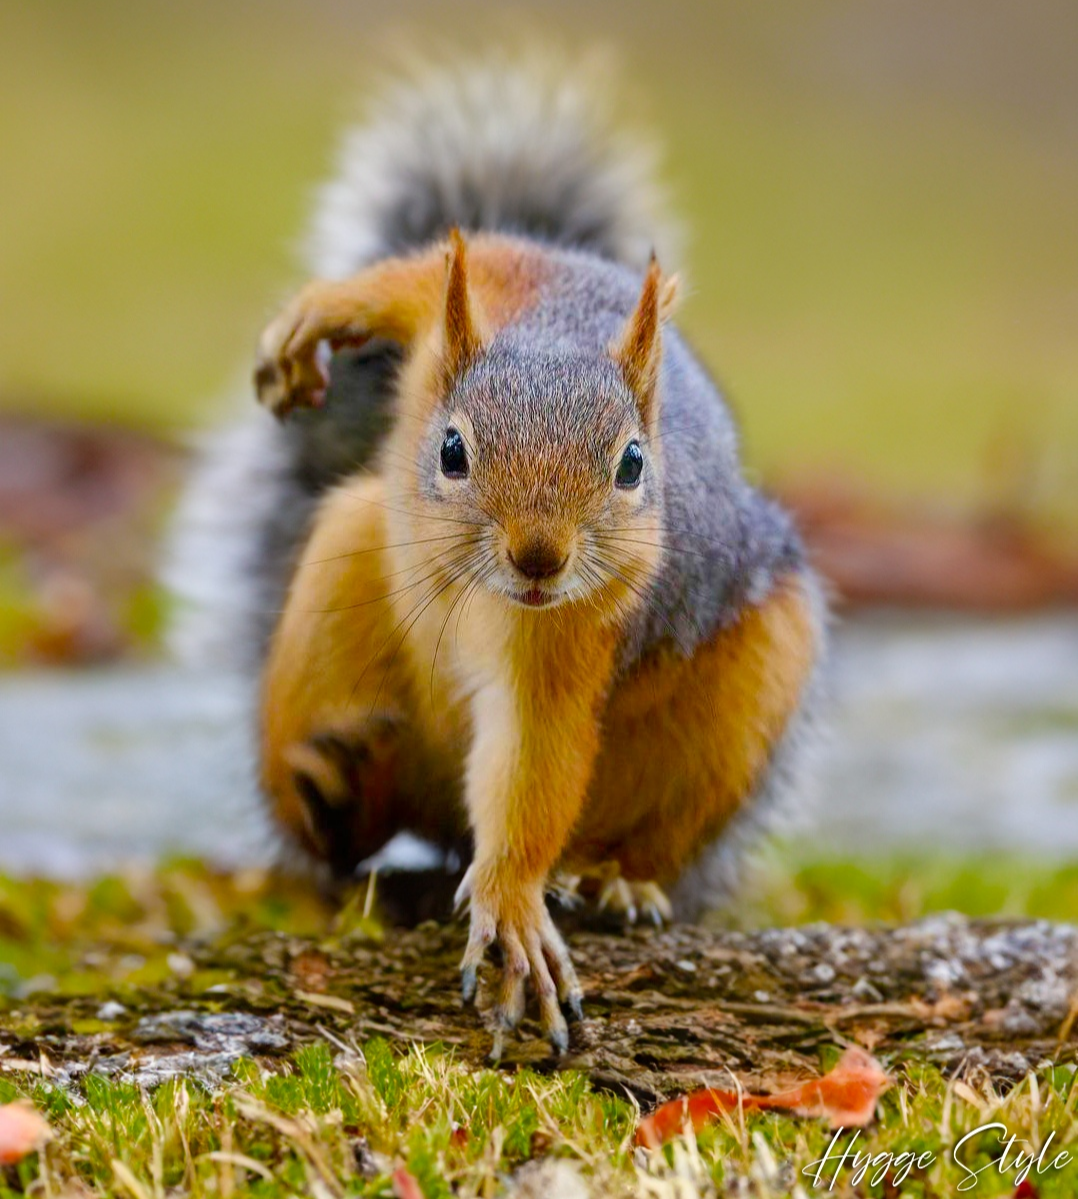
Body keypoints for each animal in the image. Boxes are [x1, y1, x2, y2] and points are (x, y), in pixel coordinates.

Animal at [166, 56, 824, 1055]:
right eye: (450, 450)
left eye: (633, 464)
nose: (539, 558)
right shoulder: (512, 284)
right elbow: (430, 272)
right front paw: (320, 314)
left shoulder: (574, 631)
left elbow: (533, 751)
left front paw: (514, 898)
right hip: (339, 575)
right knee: (338, 824)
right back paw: (332, 793)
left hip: (748, 699)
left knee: (644, 841)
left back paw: (611, 878)